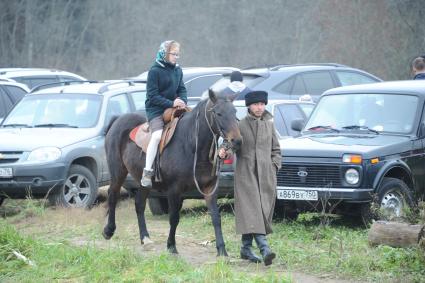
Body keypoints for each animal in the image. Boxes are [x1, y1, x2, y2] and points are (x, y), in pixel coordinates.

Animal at [102, 89, 242, 258]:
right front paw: (171, 246)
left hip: (144, 182)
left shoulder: (209, 187)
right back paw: (108, 231)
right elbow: (174, 218)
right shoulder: (174, 190)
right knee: (112, 195)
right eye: (218, 113)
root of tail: (117, 120)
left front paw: (222, 250)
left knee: (139, 204)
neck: (191, 145)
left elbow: (215, 216)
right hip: (118, 172)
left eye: (234, 112)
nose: (237, 141)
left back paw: (145, 238)